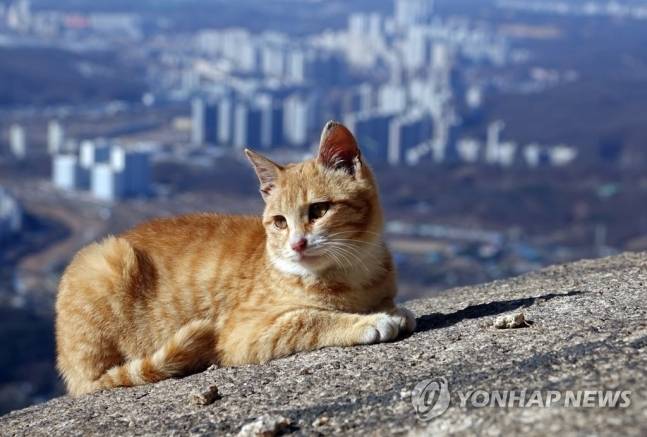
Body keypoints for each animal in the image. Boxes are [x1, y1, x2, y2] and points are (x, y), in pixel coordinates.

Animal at [58, 120, 418, 396]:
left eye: (319, 210)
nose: (297, 244)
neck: (352, 272)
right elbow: (309, 319)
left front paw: (390, 309)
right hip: (107, 260)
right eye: (280, 222)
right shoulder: (242, 332)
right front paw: (370, 321)